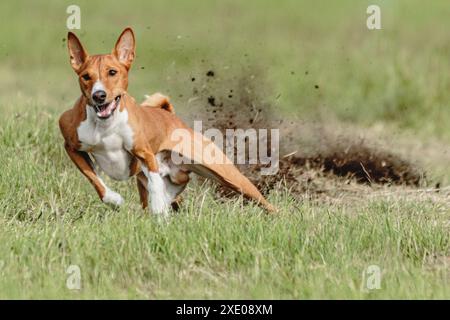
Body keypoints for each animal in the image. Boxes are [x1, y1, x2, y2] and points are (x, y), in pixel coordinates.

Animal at [58, 26, 276, 214]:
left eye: (112, 72)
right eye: (86, 76)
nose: (99, 95)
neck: (106, 126)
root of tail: (173, 118)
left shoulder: (145, 154)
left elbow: (154, 185)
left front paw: (158, 213)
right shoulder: (71, 146)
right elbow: (95, 180)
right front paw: (115, 199)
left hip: (224, 172)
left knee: (263, 201)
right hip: (167, 178)